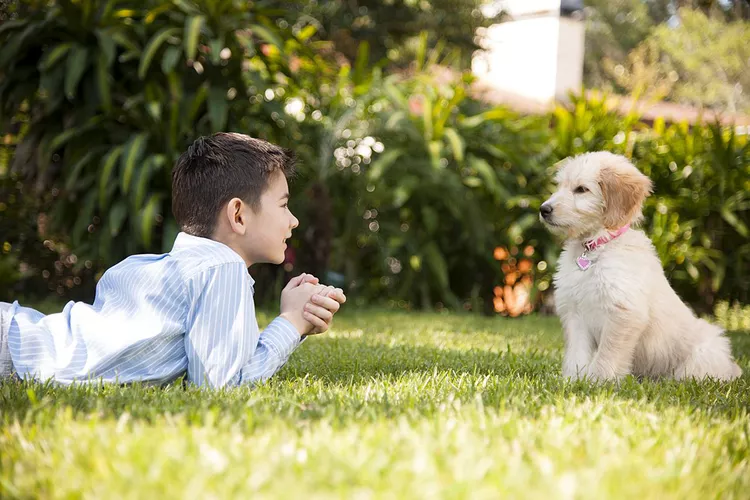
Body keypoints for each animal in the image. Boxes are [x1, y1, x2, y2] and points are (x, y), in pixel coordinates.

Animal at [540, 150, 740, 380]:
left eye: (581, 189)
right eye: (559, 186)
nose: (543, 209)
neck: (595, 246)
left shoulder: (623, 312)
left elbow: (607, 353)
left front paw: (598, 381)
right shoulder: (575, 312)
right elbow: (577, 355)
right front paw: (572, 381)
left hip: (706, 351)